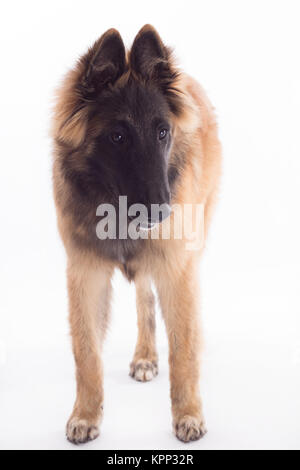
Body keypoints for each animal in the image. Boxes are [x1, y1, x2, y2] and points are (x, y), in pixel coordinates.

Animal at [51, 24, 221, 444]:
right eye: (117, 137)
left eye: (162, 132)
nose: (162, 211)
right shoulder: (85, 273)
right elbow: (86, 353)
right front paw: (85, 415)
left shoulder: (177, 268)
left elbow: (183, 350)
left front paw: (188, 414)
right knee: (145, 298)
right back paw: (145, 355)